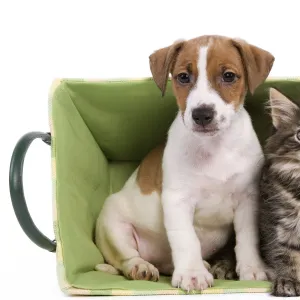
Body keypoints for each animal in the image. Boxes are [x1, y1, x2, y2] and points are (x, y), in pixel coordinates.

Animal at [95, 34, 276, 292]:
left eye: (228, 76)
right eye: (183, 77)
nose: (201, 114)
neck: (214, 147)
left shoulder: (248, 199)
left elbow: (248, 237)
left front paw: (252, 268)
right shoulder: (177, 200)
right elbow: (186, 238)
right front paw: (192, 274)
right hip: (113, 224)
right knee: (126, 257)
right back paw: (141, 267)